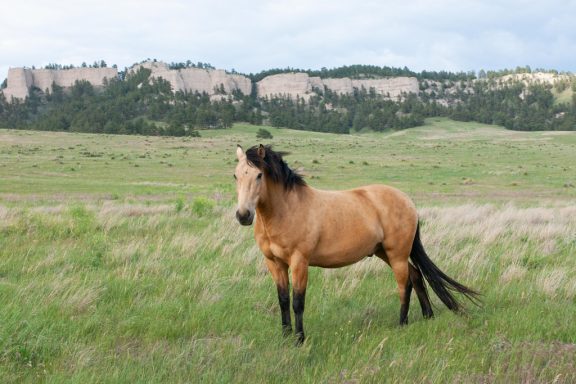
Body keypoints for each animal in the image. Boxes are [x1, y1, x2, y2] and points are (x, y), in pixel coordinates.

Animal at [232, 145, 480, 344]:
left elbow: (297, 302)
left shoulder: (299, 262)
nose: (243, 215)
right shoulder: (274, 263)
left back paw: (402, 323)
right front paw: (285, 336)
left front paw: (299, 340)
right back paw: (428, 315)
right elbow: (283, 300)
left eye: (259, 175)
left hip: (397, 254)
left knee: (404, 284)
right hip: (384, 253)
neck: (287, 209)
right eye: (235, 176)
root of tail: (407, 201)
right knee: (416, 275)